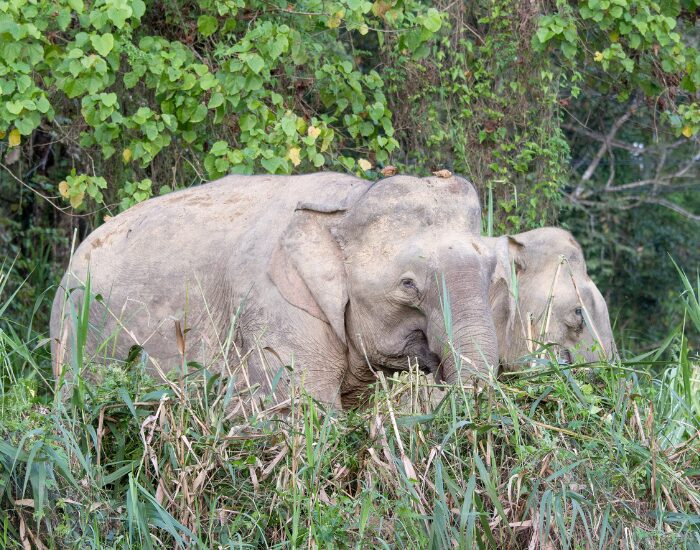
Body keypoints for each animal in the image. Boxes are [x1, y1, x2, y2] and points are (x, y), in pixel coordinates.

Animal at [50, 172, 499, 409]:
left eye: (493, 270)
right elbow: (310, 417)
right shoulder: (272, 308)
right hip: (71, 339)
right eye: (408, 285)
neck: (350, 200)